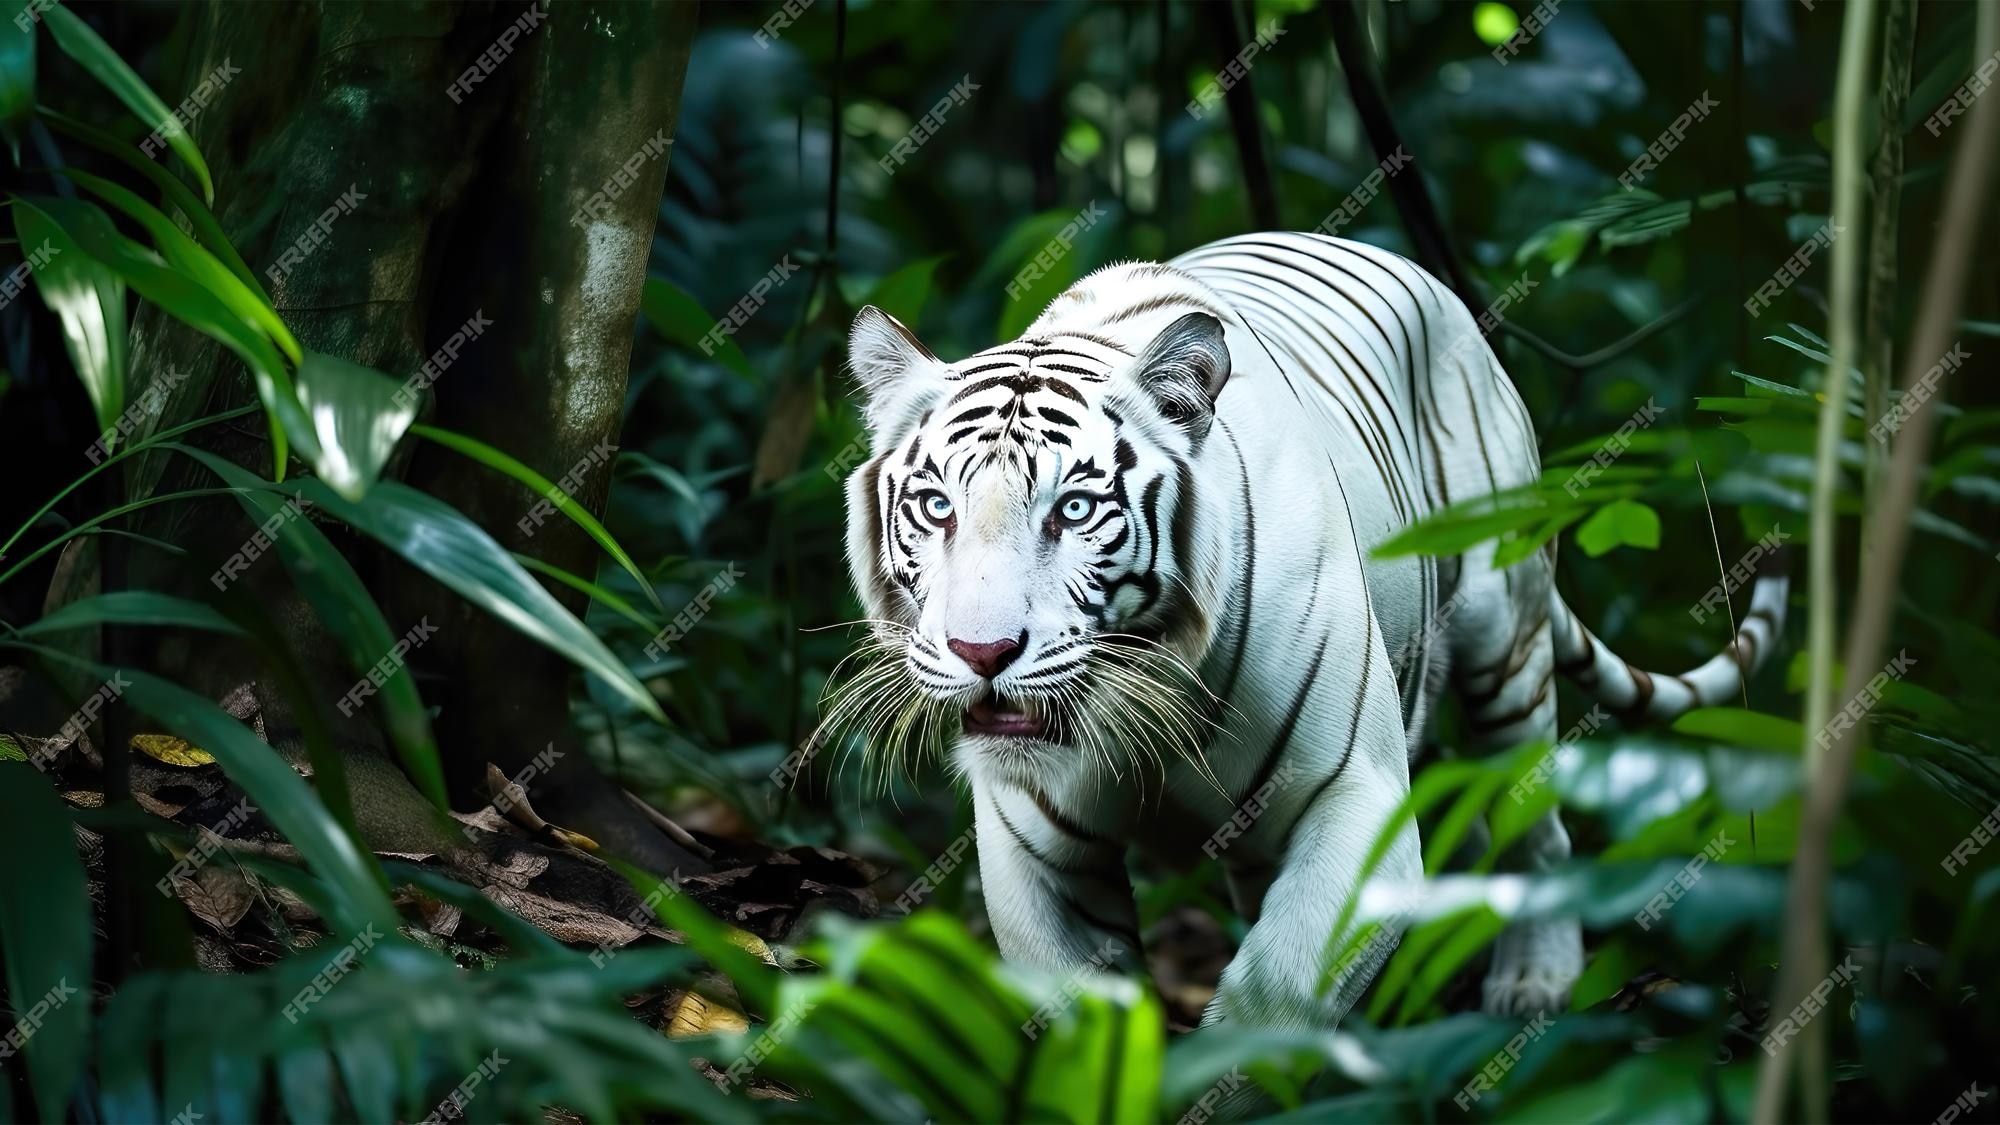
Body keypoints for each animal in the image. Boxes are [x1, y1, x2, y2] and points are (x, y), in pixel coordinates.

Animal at [836, 228, 1792, 1024]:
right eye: (935, 506)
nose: (982, 652)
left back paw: (1532, 982)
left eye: (1073, 509)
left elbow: (1277, 996)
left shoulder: (1358, 797)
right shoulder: (1035, 845)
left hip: (1506, 645)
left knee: (1535, 823)